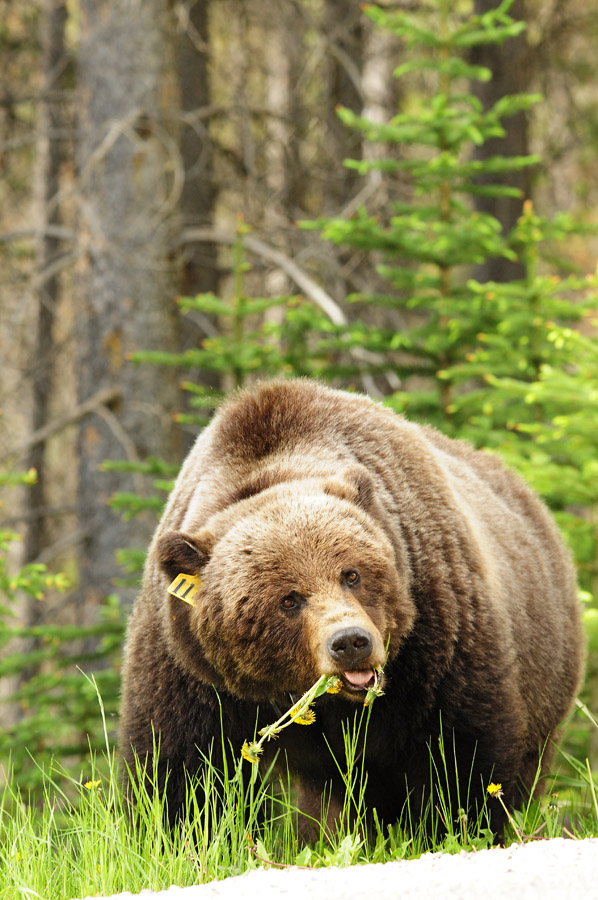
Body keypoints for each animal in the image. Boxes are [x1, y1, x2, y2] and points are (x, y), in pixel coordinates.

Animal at [119, 378, 584, 838]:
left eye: (352, 574)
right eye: (288, 599)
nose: (350, 642)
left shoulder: (437, 635)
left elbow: (460, 751)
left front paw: (459, 823)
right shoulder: (192, 668)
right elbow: (179, 769)